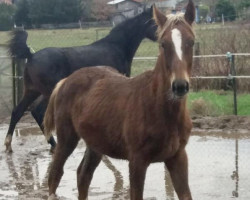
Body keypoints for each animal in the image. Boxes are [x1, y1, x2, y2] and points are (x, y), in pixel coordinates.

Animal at [43, 0, 195, 199]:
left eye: (191, 42)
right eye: (163, 44)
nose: (179, 86)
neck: (158, 108)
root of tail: (65, 81)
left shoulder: (178, 157)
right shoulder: (137, 161)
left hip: (95, 144)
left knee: (83, 175)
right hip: (67, 139)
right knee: (55, 175)